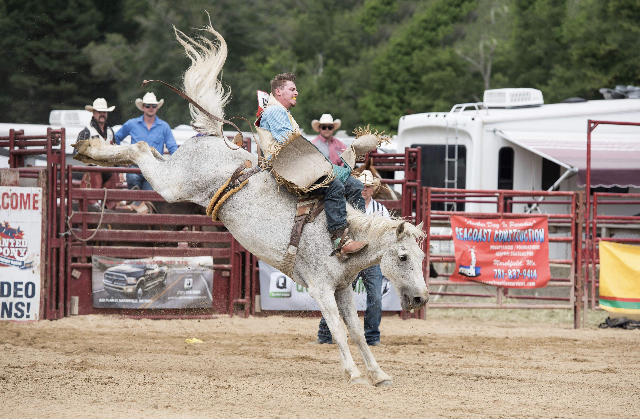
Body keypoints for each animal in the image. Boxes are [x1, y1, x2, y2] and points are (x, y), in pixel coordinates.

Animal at [72, 23, 428, 388]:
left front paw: (378, 373)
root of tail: (216, 137)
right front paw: (355, 374)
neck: (344, 237)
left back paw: (90, 150)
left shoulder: (341, 289)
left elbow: (356, 331)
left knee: (149, 150)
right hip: (173, 185)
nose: (420, 299)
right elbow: (340, 332)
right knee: (141, 147)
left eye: (421, 258)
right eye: (402, 256)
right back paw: (90, 147)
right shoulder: (320, 288)